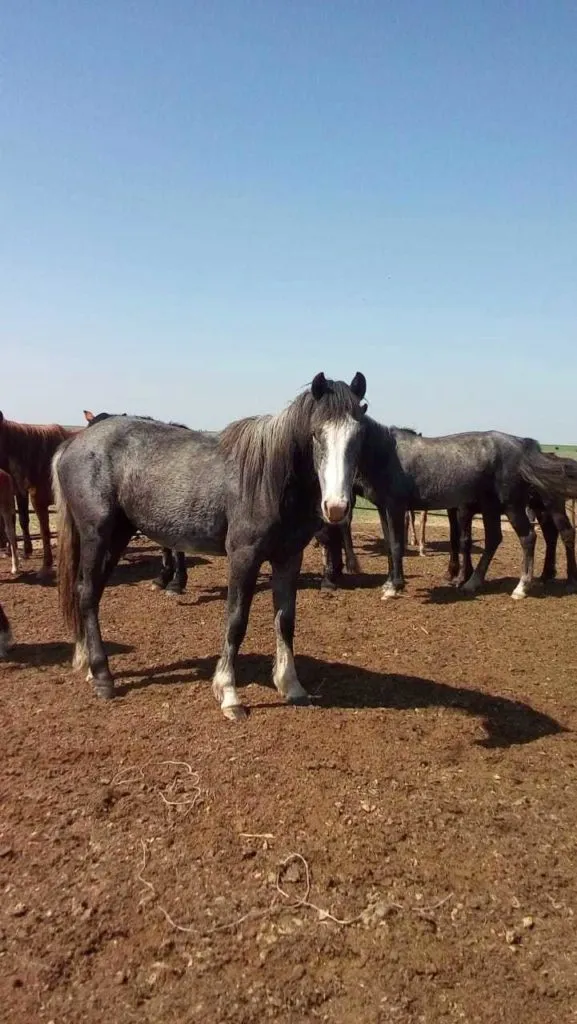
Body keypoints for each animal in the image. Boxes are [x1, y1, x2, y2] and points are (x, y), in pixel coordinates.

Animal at [55, 374, 371, 720]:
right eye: (316, 434)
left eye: (358, 435)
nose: (337, 507)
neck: (268, 479)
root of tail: (75, 443)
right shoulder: (243, 557)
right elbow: (236, 622)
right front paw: (229, 694)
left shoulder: (289, 558)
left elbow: (285, 620)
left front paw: (291, 686)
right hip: (96, 535)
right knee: (87, 594)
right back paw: (103, 677)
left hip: (118, 536)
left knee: (88, 592)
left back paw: (87, 664)